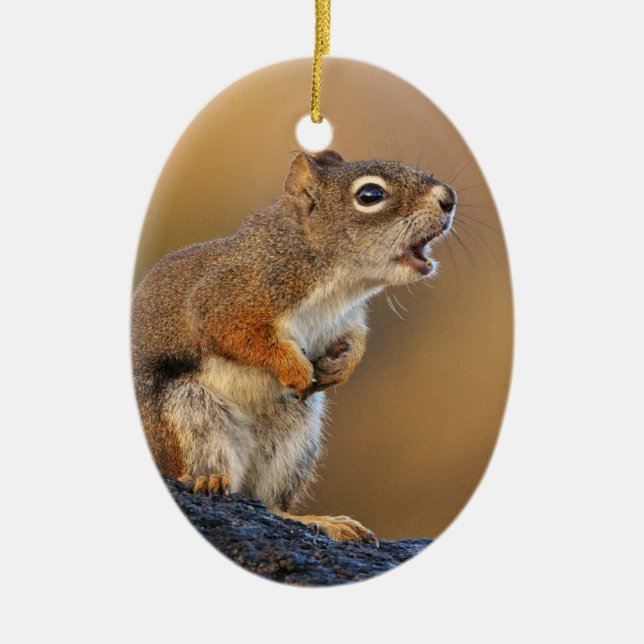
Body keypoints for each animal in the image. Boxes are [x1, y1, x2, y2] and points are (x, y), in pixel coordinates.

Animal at [131, 149, 456, 543]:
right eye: (370, 195)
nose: (450, 198)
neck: (338, 287)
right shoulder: (229, 298)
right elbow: (238, 336)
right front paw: (294, 367)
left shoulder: (344, 318)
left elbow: (356, 338)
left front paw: (344, 365)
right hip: (186, 416)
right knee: (196, 463)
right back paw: (205, 479)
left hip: (293, 439)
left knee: (270, 504)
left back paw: (319, 521)